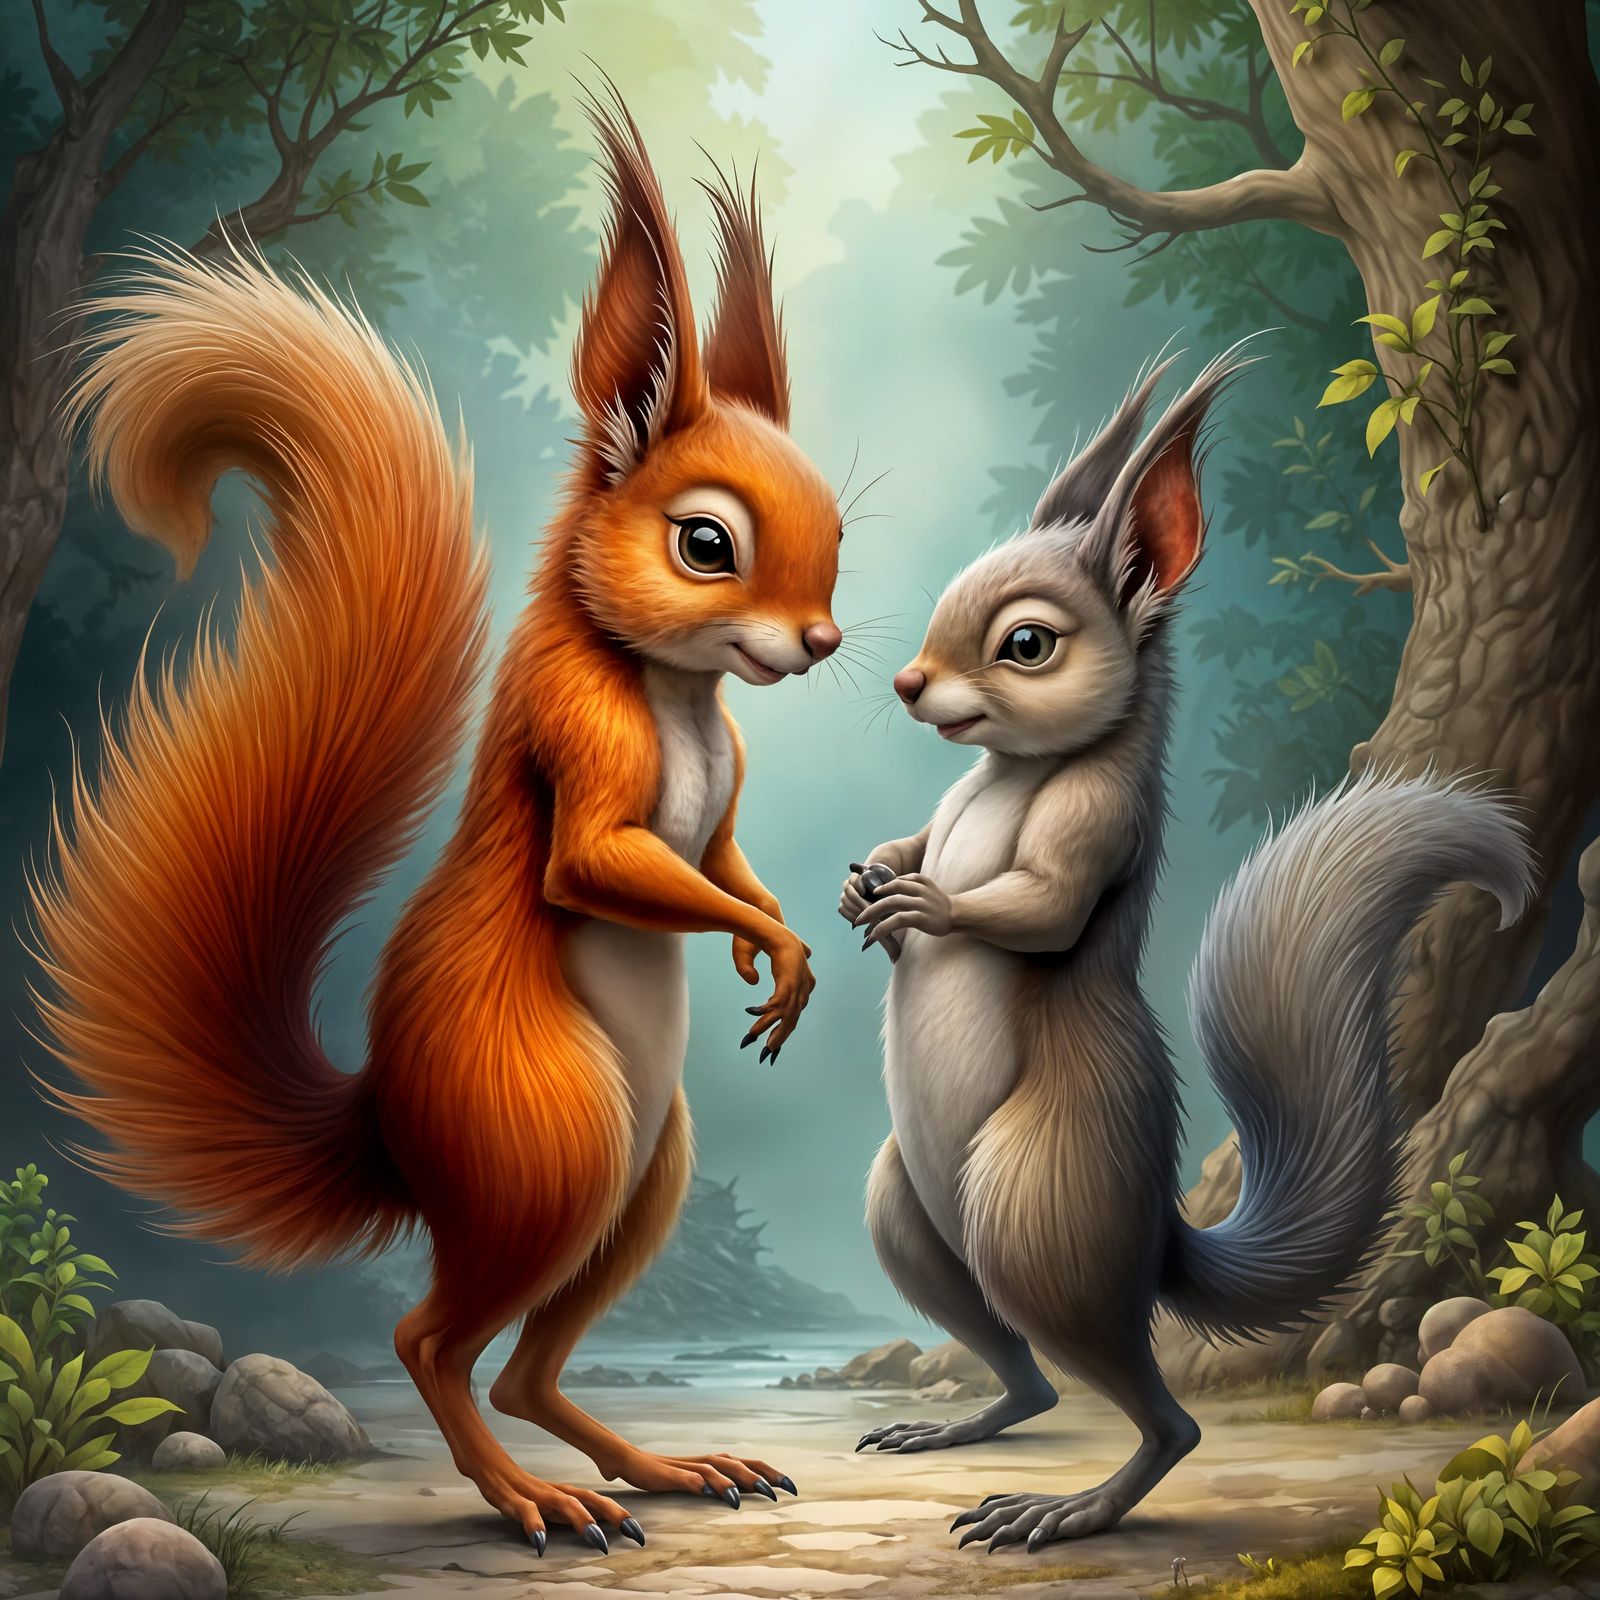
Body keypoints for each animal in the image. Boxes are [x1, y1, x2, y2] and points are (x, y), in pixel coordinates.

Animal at [31, 90, 845, 1552]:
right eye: (706, 543)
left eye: (839, 530)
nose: (820, 640)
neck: (677, 687)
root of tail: (395, 1133)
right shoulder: (580, 735)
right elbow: (602, 862)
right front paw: (782, 949)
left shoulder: (721, 803)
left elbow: (722, 858)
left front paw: (770, 939)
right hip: (548, 1147)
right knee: (430, 1345)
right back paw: (535, 1498)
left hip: (640, 1177)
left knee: (521, 1366)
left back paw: (658, 1470)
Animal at [838, 351, 1533, 1553]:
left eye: (1027, 643)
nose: (908, 685)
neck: (1014, 771)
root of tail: (1158, 1241)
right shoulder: (948, 807)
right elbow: (915, 836)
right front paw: (868, 877)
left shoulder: (1096, 824)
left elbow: (1043, 908)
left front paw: (924, 904)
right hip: (913, 1218)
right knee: (1028, 1380)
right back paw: (957, 1429)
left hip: (1035, 1214)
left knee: (1164, 1422)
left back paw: (1065, 1510)